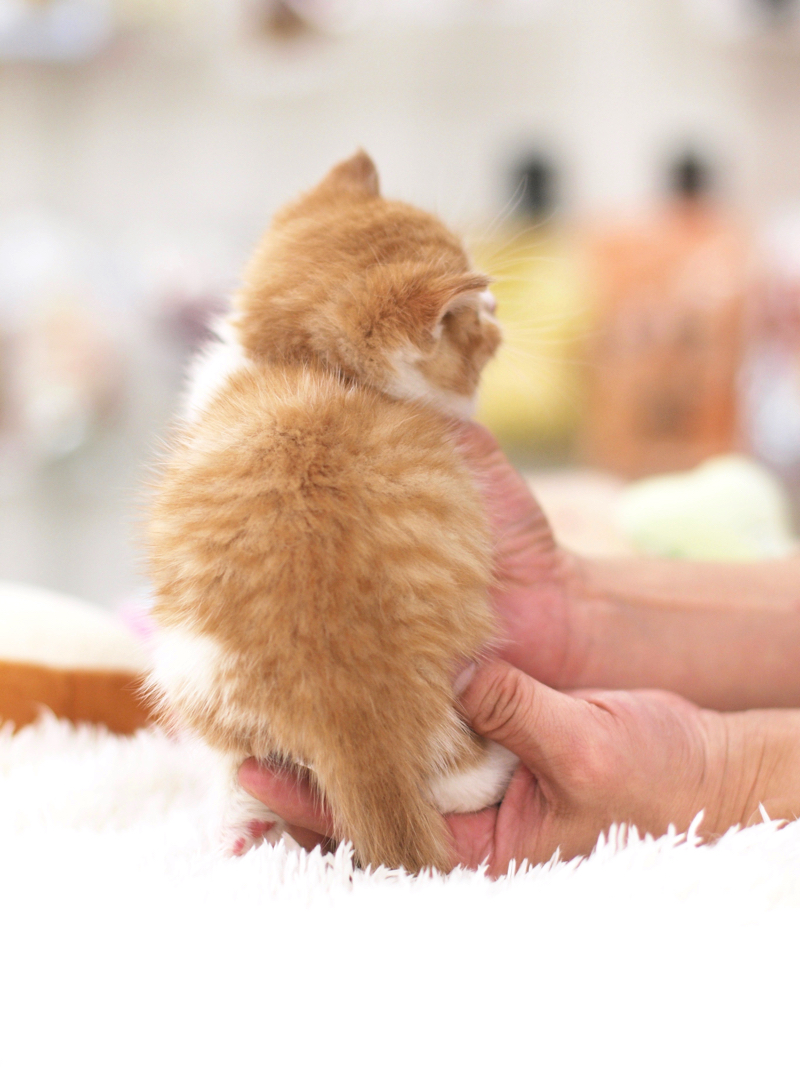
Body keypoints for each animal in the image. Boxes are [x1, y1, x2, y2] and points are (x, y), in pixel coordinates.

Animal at [146, 152, 516, 874]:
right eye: (467, 318)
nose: (497, 314)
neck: (299, 360)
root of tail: (344, 694)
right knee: (458, 785)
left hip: (185, 662)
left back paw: (236, 821)